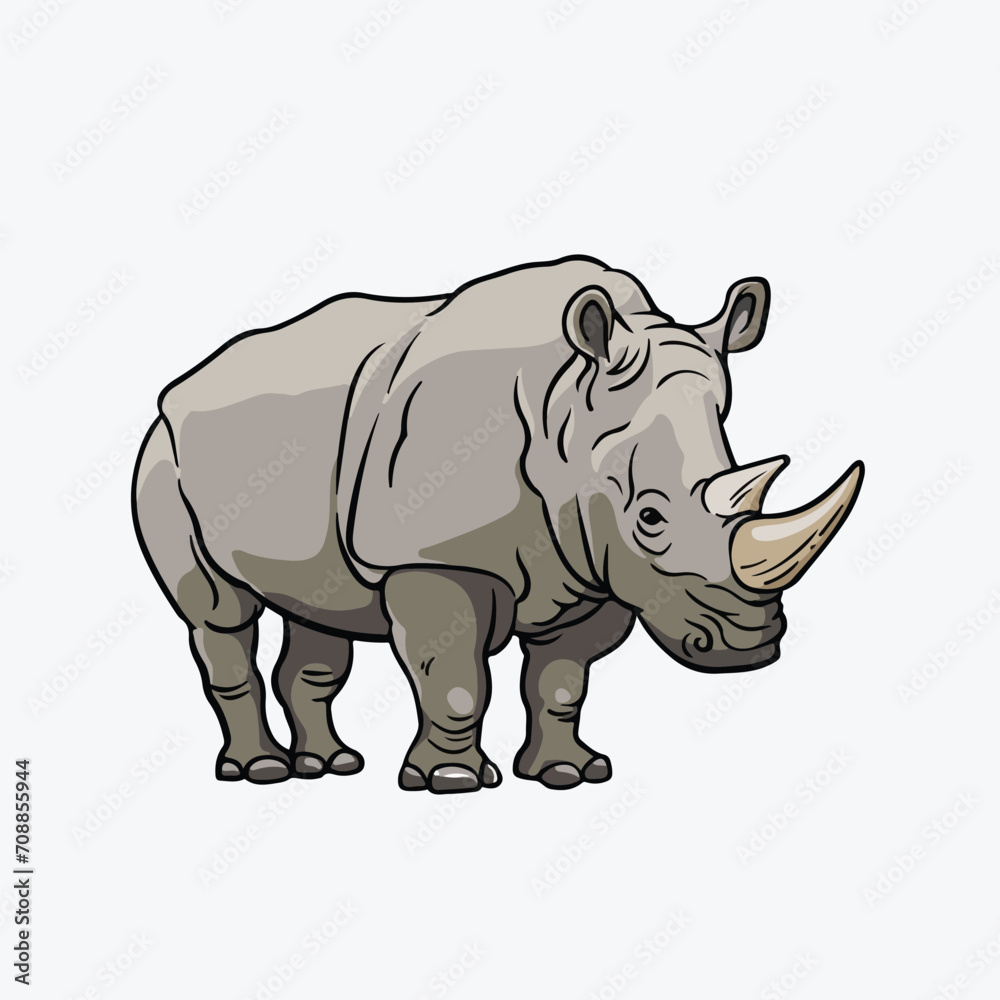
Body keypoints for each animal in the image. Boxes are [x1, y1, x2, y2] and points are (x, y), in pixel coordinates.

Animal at [132, 256, 862, 792]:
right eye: (650, 518)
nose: (751, 646)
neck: (567, 414)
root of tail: (181, 383)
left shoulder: (594, 566)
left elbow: (562, 680)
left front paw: (569, 774)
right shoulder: (433, 556)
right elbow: (453, 677)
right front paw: (451, 782)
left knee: (316, 614)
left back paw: (332, 765)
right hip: (162, 453)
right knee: (219, 612)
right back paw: (258, 771)